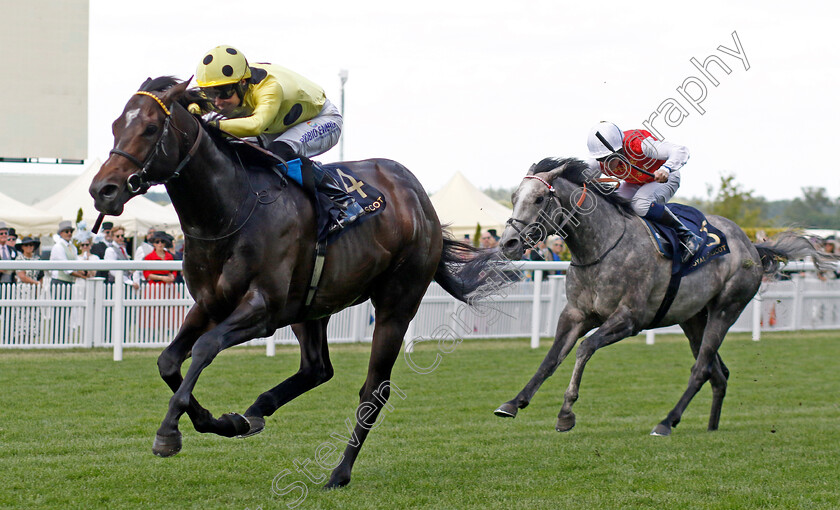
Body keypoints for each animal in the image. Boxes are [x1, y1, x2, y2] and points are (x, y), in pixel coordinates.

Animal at [87, 75, 492, 486]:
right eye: (116, 126)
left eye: (151, 128)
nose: (102, 190)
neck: (230, 210)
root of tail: (420, 198)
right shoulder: (210, 304)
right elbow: (168, 361)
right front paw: (221, 422)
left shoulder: (262, 309)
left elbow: (204, 348)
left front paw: (169, 432)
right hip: (312, 308)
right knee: (317, 368)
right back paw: (255, 412)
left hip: (397, 303)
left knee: (375, 389)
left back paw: (339, 472)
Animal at [496, 156, 832, 434]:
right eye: (513, 198)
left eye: (539, 198)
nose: (508, 243)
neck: (601, 247)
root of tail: (751, 246)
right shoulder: (576, 314)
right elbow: (551, 358)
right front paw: (513, 402)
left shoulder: (629, 319)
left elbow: (585, 348)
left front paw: (566, 413)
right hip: (693, 318)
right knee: (718, 372)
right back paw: (710, 427)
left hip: (726, 309)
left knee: (701, 369)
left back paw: (667, 422)